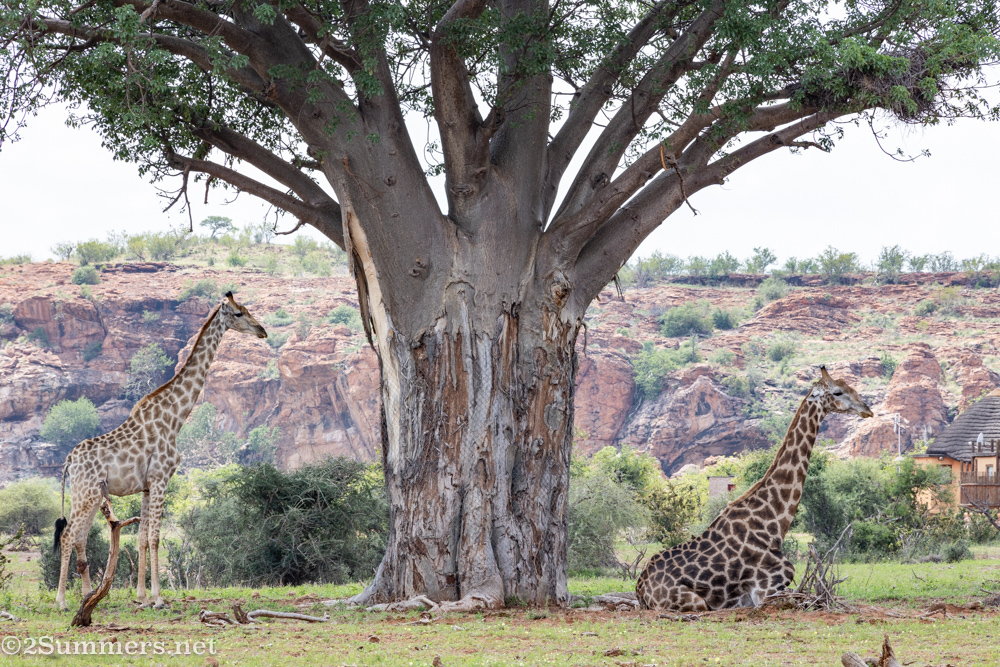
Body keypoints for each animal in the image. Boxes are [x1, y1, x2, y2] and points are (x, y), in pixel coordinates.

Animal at [54, 291, 267, 610]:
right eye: (239, 313)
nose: (262, 331)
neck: (176, 417)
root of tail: (68, 461)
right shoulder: (161, 478)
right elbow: (154, 537)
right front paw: (157, 598)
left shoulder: (145, 486)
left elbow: (142, 538)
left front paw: (142, 596)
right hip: (86, 493)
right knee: (68, 535)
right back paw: (62, 601)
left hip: (88, 495)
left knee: (79, 536)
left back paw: (87, 596)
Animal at [635, 366, 873, 611]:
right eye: (837, 392)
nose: (867, 410)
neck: (774, 524)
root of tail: (640, 588)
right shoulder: (766, 591)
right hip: (695, 603)